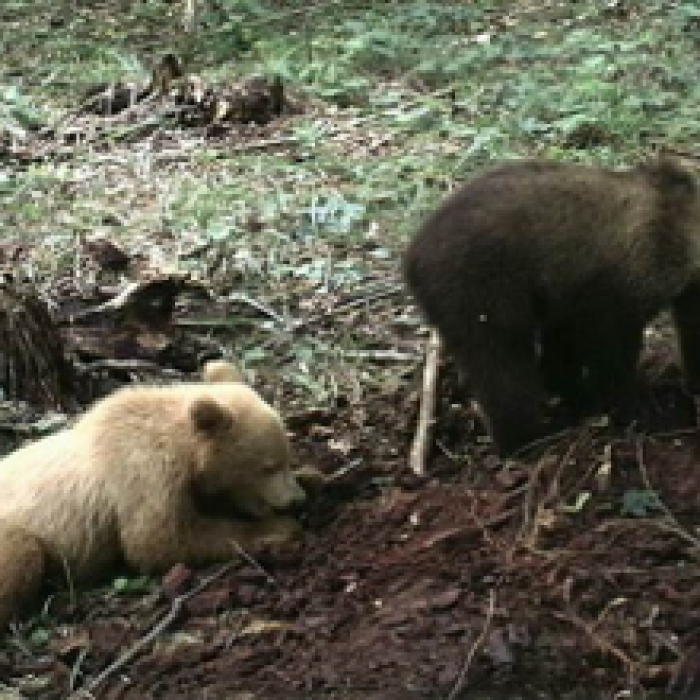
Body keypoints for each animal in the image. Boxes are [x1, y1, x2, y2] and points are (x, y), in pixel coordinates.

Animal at [0, 360, 306, 628]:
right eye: (269, 466)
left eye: (287, 457)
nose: (295, 500)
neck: (183, 450)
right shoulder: (145, 473)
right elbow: (158, 539)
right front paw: (278, 528)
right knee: (23, 554)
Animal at [402, 156, 700, 456]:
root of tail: (412, 257)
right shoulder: (623, 282)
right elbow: (609, 351)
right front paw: (643, 411)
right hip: (480, 286)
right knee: (501, 366)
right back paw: (529, 438)